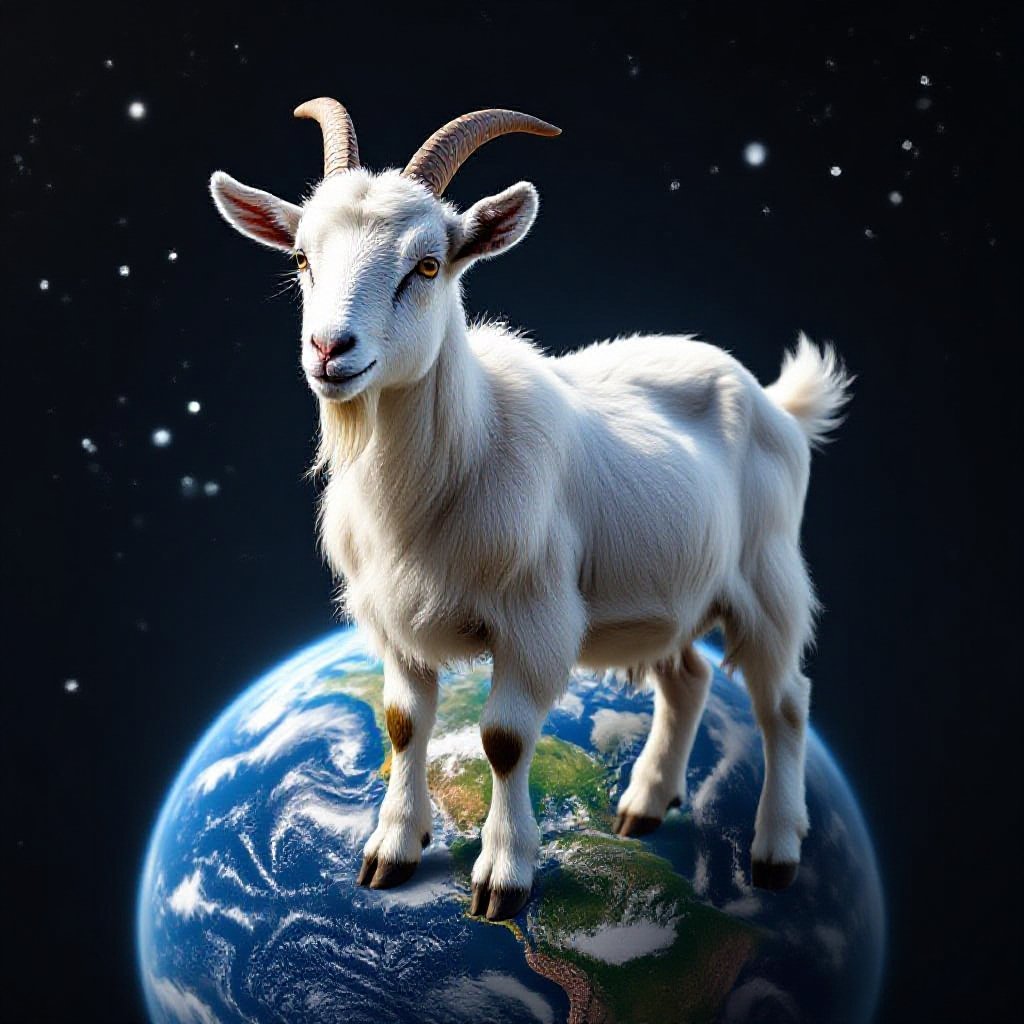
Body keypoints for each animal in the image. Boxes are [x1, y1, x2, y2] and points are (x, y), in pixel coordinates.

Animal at [210, 98, 852, 922]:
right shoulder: (395, 622)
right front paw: (391, 850)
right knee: (688, 682)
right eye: (299, 258)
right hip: (669, 585)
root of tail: (775, 401)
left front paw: (503, 876)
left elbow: (505, 739)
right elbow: (403, 724)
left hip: (767, 573)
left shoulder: (534, 617)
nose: (330, 349)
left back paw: (774, 853)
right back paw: (644, 806)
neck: (453, 460)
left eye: (427, 265)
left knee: (785, 704)